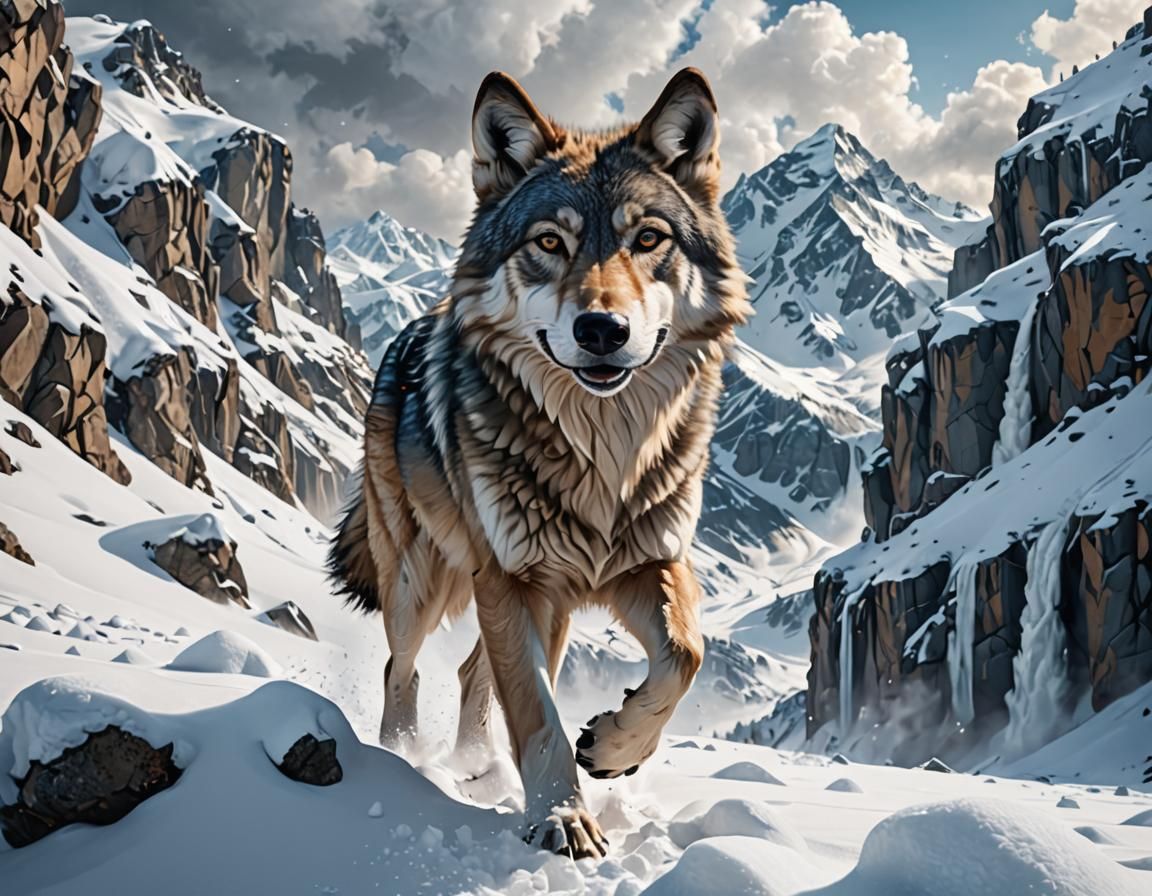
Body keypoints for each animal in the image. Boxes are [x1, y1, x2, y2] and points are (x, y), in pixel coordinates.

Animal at [329, 66, 750, 859]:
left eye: (649, 238)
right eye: (549, 241)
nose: (602, 328)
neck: (603, 458)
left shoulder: (650, 560)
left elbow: (686, 655)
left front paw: (615, 748)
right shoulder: (511, 579)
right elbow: (538, 715)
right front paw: (561, 817)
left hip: (544, 608)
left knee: (472, 672)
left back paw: (477, 768)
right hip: (422, 581)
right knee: (404, 668)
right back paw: (402, 761)